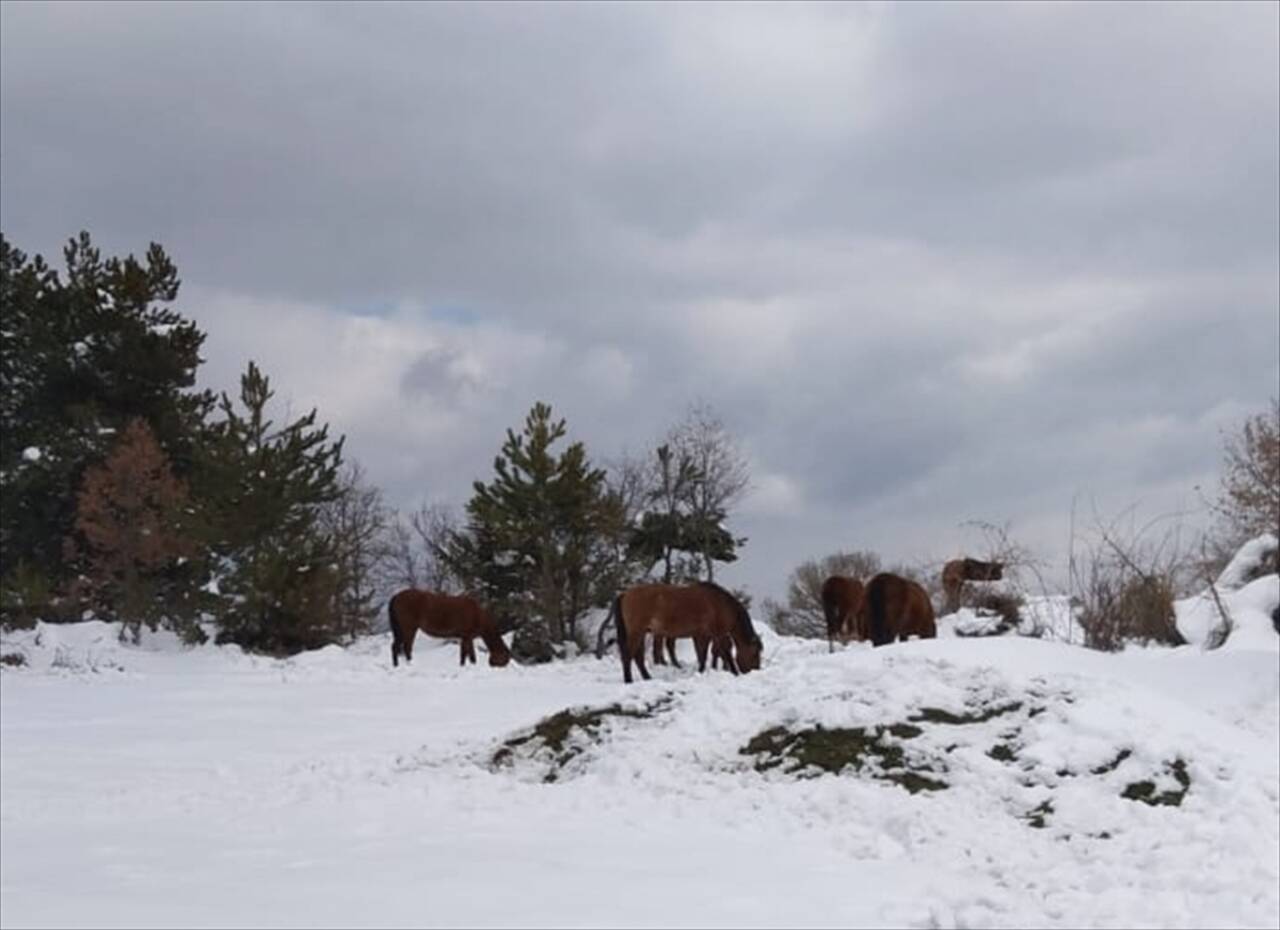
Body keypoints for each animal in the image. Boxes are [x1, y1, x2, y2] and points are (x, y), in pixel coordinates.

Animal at [609, 583, 757, 685]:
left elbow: (702, 655)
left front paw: (700, 671)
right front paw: (734, 672)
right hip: (636, 632)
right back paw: (629, 680)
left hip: (641, 632)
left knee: (638, 657)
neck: (719, 605)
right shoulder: (717, 634)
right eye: (756, 654)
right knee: (628, 655)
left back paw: (647, 678)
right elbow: (725, 653)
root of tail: (625, 594)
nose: (755, 670)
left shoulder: (703, 636)